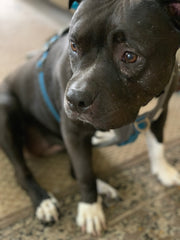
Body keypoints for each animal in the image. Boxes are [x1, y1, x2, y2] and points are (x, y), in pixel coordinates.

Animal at [1, 0, 180, 236]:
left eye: (129, 56)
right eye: (74, 46)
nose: (75, 98)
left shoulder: (161, 113)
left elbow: (157, 144)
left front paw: (163, 170)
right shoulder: (74, 133)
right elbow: (85, 174)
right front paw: (90, 210)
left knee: (72, 168)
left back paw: (102, 186)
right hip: (7, 109)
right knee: (23, 173)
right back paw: (44, 202)